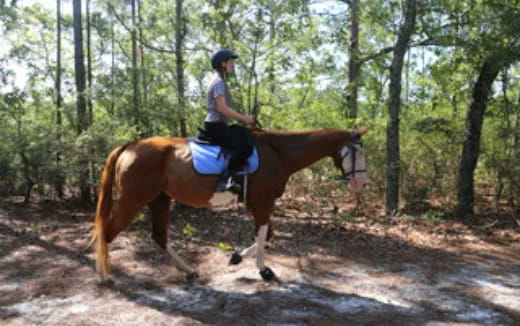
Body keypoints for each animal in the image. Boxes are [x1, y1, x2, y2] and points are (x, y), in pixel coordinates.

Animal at [89, 126, 368, 282]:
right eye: (358, 151)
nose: (361, 184)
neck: (278, 152)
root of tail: (130, 145)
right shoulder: (263, 202)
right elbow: (263, 234)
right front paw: (264, 270)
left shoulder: (258, 203)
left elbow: (267, 235)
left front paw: (237, 258)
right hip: (133, 199)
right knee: (108, 232)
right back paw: (103, 276)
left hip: (160, 199)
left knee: (159, 237)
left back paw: (189, 270)